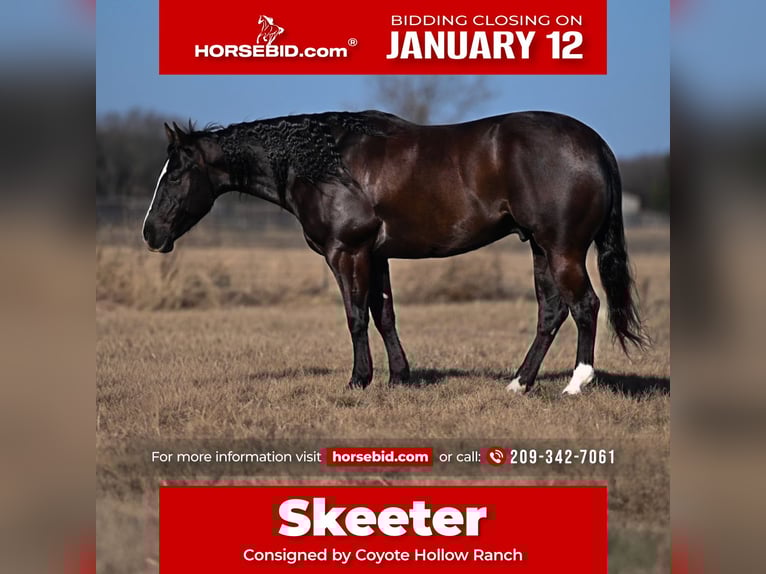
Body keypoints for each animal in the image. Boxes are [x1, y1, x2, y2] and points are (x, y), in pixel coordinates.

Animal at [142, 110, 647, 395]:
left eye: (174, 174)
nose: (150, 233)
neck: (326, 163)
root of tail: (594, 144)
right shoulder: (376, 255)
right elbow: (384, 315)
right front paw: (399, 377)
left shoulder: (346, 253)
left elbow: (355, 317)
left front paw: (359, 380)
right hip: (541, 248)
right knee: (551, 312)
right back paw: (519, 384)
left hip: (563, 250)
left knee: (585, 305)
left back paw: (577, 384)